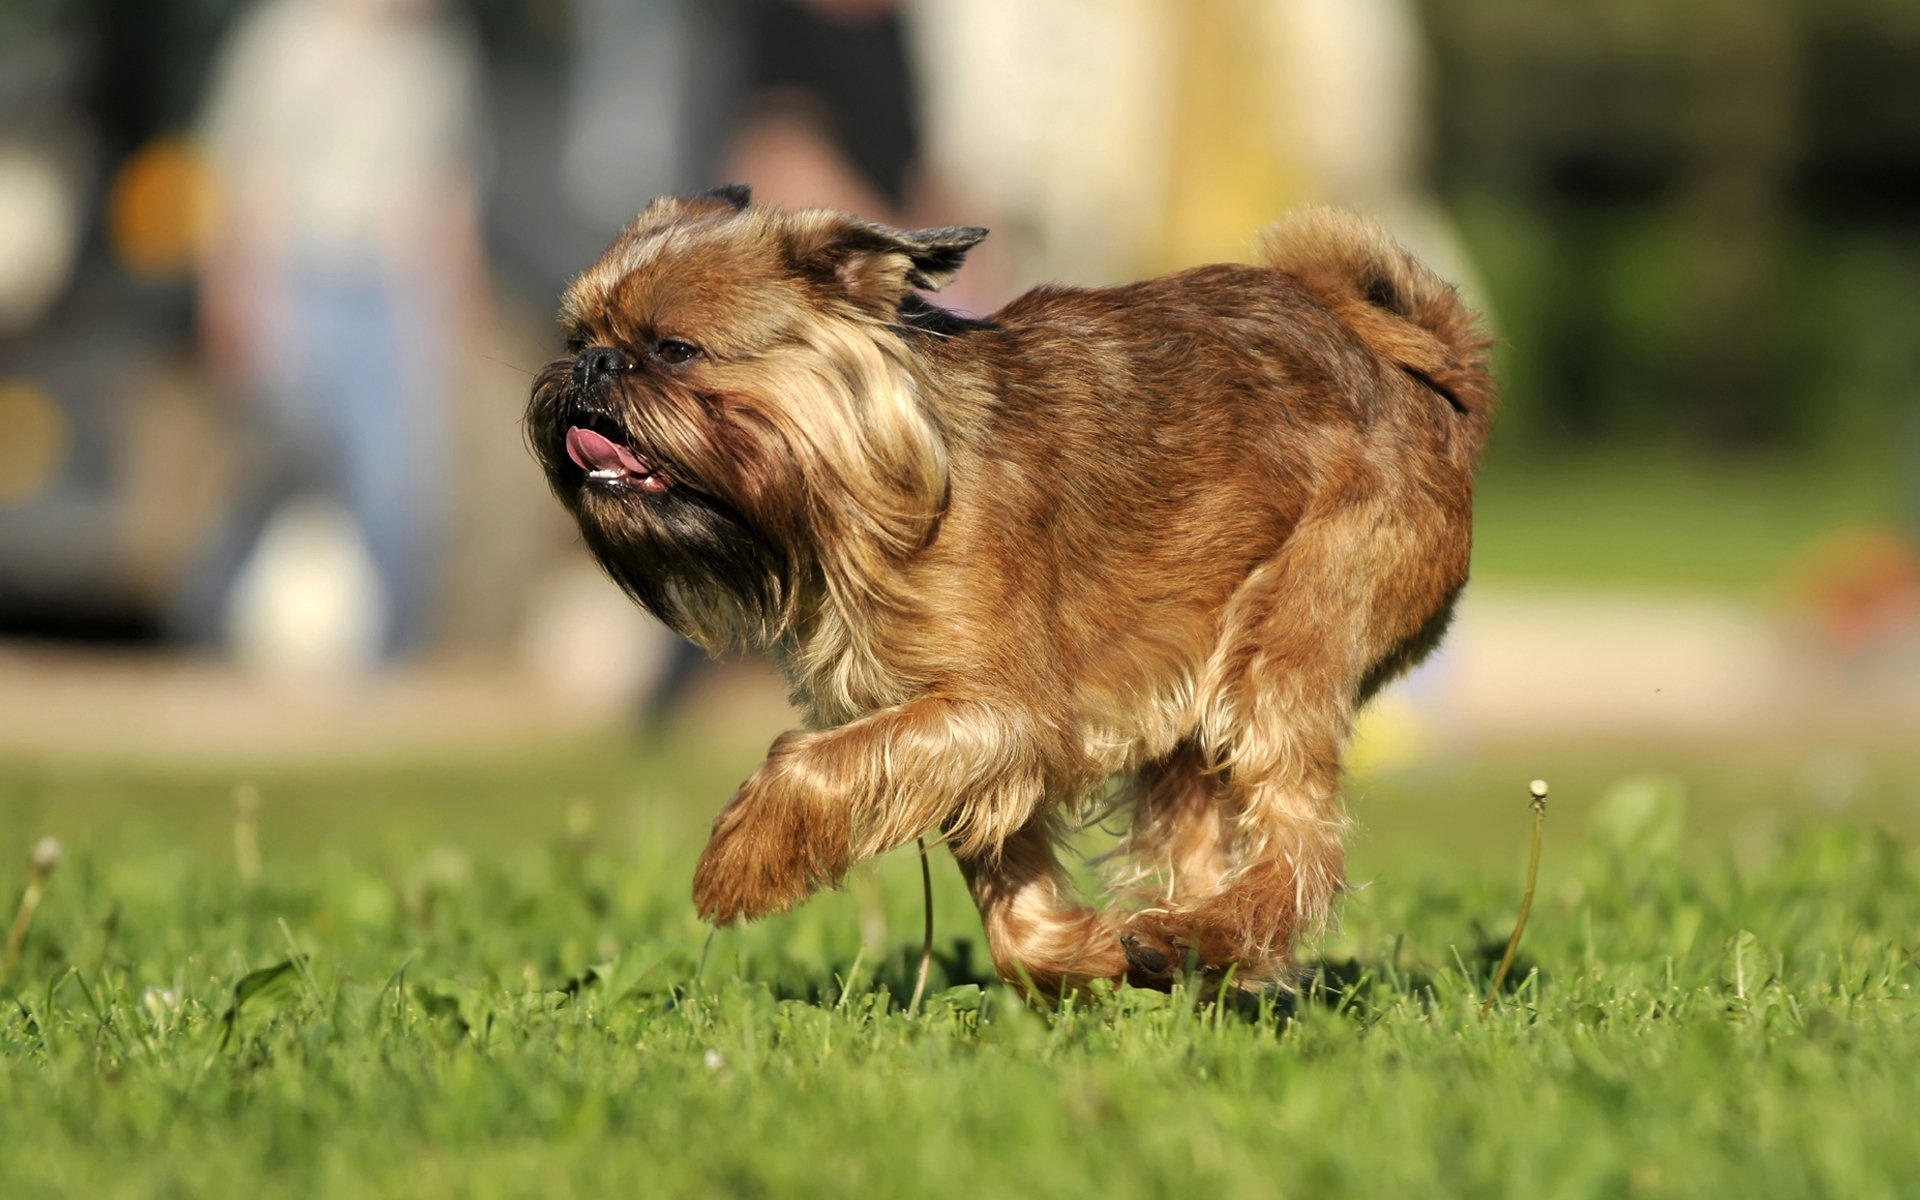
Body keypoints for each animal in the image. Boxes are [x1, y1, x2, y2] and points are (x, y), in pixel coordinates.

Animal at [529, 187, 1497, 990]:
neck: (866, 489)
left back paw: (1201, 936)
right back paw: (1200, 952)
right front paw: (1085, 952)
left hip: (1285, 637)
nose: (594, 367)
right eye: (578, 342)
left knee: (1302, 844)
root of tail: (1431, 380)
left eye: (674, 350)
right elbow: (1010, 904)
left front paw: (740, 859)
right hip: (1190, 706)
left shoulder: (1004, 713)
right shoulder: (964, 744)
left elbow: (810, 763)